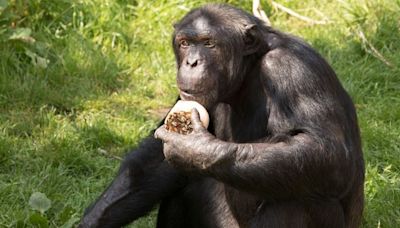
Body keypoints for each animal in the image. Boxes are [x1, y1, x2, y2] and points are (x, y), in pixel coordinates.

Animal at [79, 3, 366, 228]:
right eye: (185, 43)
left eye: (209, 43)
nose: (192, 62)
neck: (247, 73)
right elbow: (154, 162)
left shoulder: (294, 69)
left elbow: (326, 151)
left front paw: (194, 148)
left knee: (298, 197)